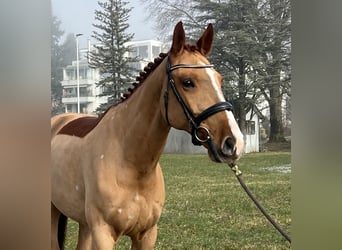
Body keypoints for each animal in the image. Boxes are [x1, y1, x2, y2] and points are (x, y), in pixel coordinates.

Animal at [50, 22, 243, 250]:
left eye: (220, 80)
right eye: (187, 82)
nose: (234, 142)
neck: (131, 163)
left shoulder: (146, 234)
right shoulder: (103, 233)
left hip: (84, 223)